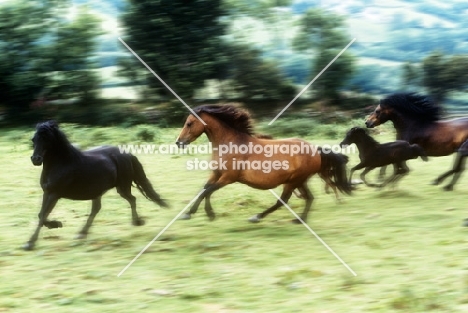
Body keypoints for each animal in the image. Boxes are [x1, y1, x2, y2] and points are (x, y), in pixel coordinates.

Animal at [25, 120, 168, 250]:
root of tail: (127, 154)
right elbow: (41, 214)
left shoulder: (54, 194)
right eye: (33, 139)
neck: (62, 163)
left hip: (122, 187)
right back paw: (82, 234)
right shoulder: (47, 192)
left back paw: (137, 222)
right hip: (98, 191)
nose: (36, 159)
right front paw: (53, 226)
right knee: (97, 209)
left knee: (132, 199)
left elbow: (43, 215)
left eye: (47, 139)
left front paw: (31, 243)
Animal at [176, 104, 352, 222]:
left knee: (283, 200)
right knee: (309, 197)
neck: (231, 144)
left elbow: (207, 191)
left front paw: (209, 214)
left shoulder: (228, 178)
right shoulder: (216, 174)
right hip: (299, 181)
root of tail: (315, 150)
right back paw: (300, 220)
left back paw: (257, 217)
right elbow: (204, 190)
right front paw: (190, 213)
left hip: (294, 181)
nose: (179, 142)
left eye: (189, 123)